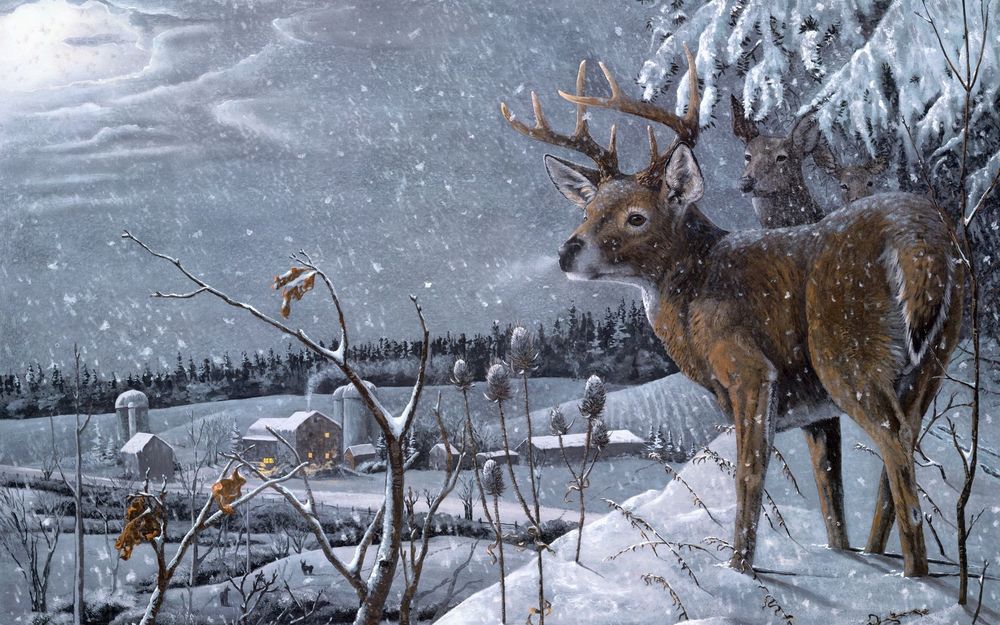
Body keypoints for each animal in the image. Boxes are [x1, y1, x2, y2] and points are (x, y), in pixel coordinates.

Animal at [501, 45, 962, 577]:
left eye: (636, 217)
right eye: (587, 210)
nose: (566, 252)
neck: (693, 304)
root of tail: (920, 237)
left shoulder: (750, 369)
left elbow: (748, 473)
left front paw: (738, 568)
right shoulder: (815, 411)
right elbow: (830, 494)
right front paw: (844, 555)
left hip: (847, 355)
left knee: (896, 448)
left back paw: (914, 576)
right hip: (934, 358)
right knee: (905, 447)